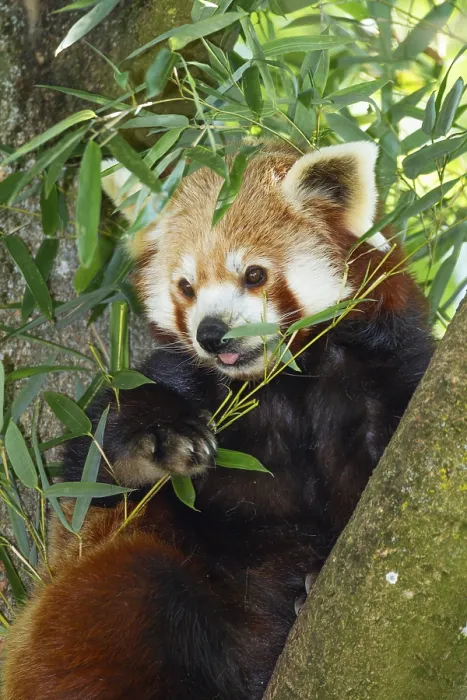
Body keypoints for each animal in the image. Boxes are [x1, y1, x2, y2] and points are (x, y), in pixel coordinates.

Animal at [3, 140, 433, 700]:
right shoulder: (185, 384)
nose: (212, 333)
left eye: (253, 274)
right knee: (130, 584)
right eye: (185, 286)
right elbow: (88, 479)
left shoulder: (385, 366)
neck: (282, 382)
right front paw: (159, 444)